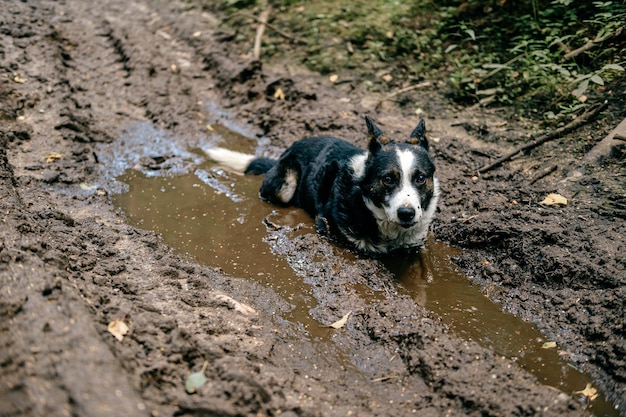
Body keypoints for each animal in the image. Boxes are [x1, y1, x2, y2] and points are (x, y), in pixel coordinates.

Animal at [205, 115, 438, 255]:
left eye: (420, 178)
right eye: (388, 179)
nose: (406, 213)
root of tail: (284, 153)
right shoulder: (327, 227)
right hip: (285, 186)